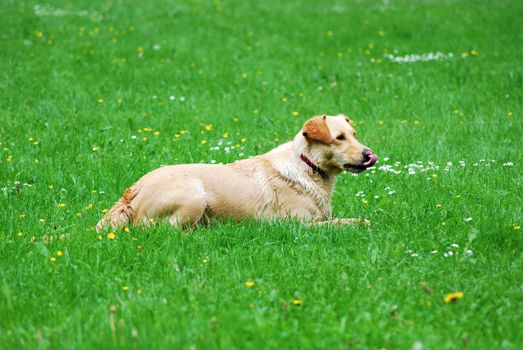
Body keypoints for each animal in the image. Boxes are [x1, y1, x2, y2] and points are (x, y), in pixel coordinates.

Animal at [97, 113, 376, 231]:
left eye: (354, 134)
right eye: (339, 138)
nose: (369, 154)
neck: (307, 165)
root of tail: (133, 190)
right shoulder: (298, 225)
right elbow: (351, 222)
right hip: (194, 195)